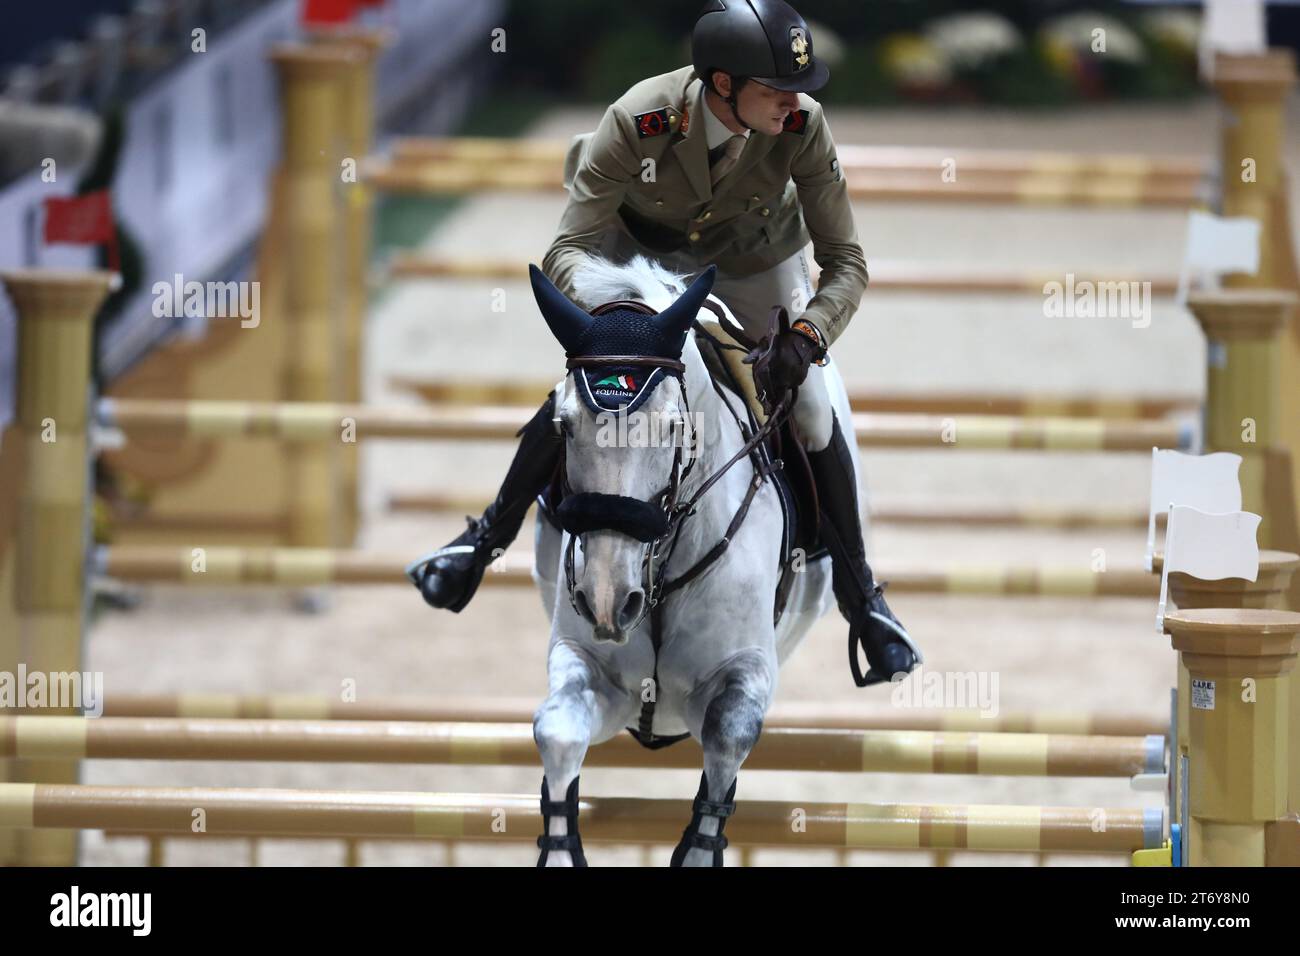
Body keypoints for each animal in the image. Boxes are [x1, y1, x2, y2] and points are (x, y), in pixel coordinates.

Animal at [522, 254, 857, 868]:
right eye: (563, 426)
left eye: (673, 427)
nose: (607, 600)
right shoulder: (592, 668)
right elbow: (556, 730)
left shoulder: (747, 668)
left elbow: (727, 738)